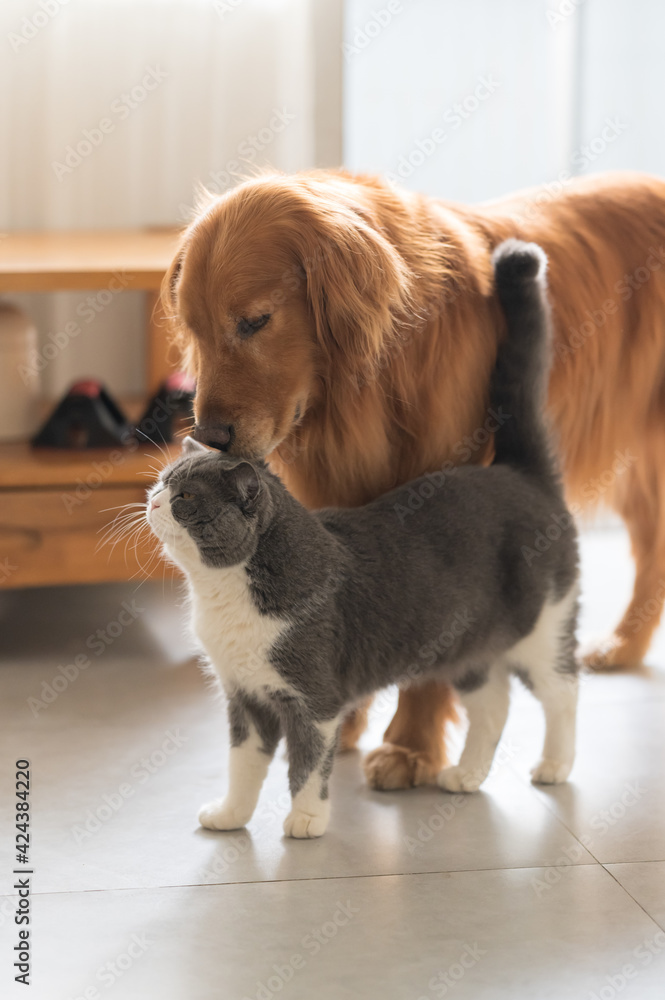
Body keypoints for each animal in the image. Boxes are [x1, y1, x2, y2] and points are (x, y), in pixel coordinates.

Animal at [145, 240, 576, 836]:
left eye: (185, 497)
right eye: (162, 482)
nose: (152, 502)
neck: (222, 594)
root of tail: (518, 471)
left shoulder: (315, 699)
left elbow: (307, 764)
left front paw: (306, 821)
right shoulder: (245, 697)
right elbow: (242, 763)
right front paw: (230, 815)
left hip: (542, 628)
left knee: (562, 691)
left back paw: (555, 765)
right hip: (468, 652)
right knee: (493, 704)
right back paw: (466, 775)